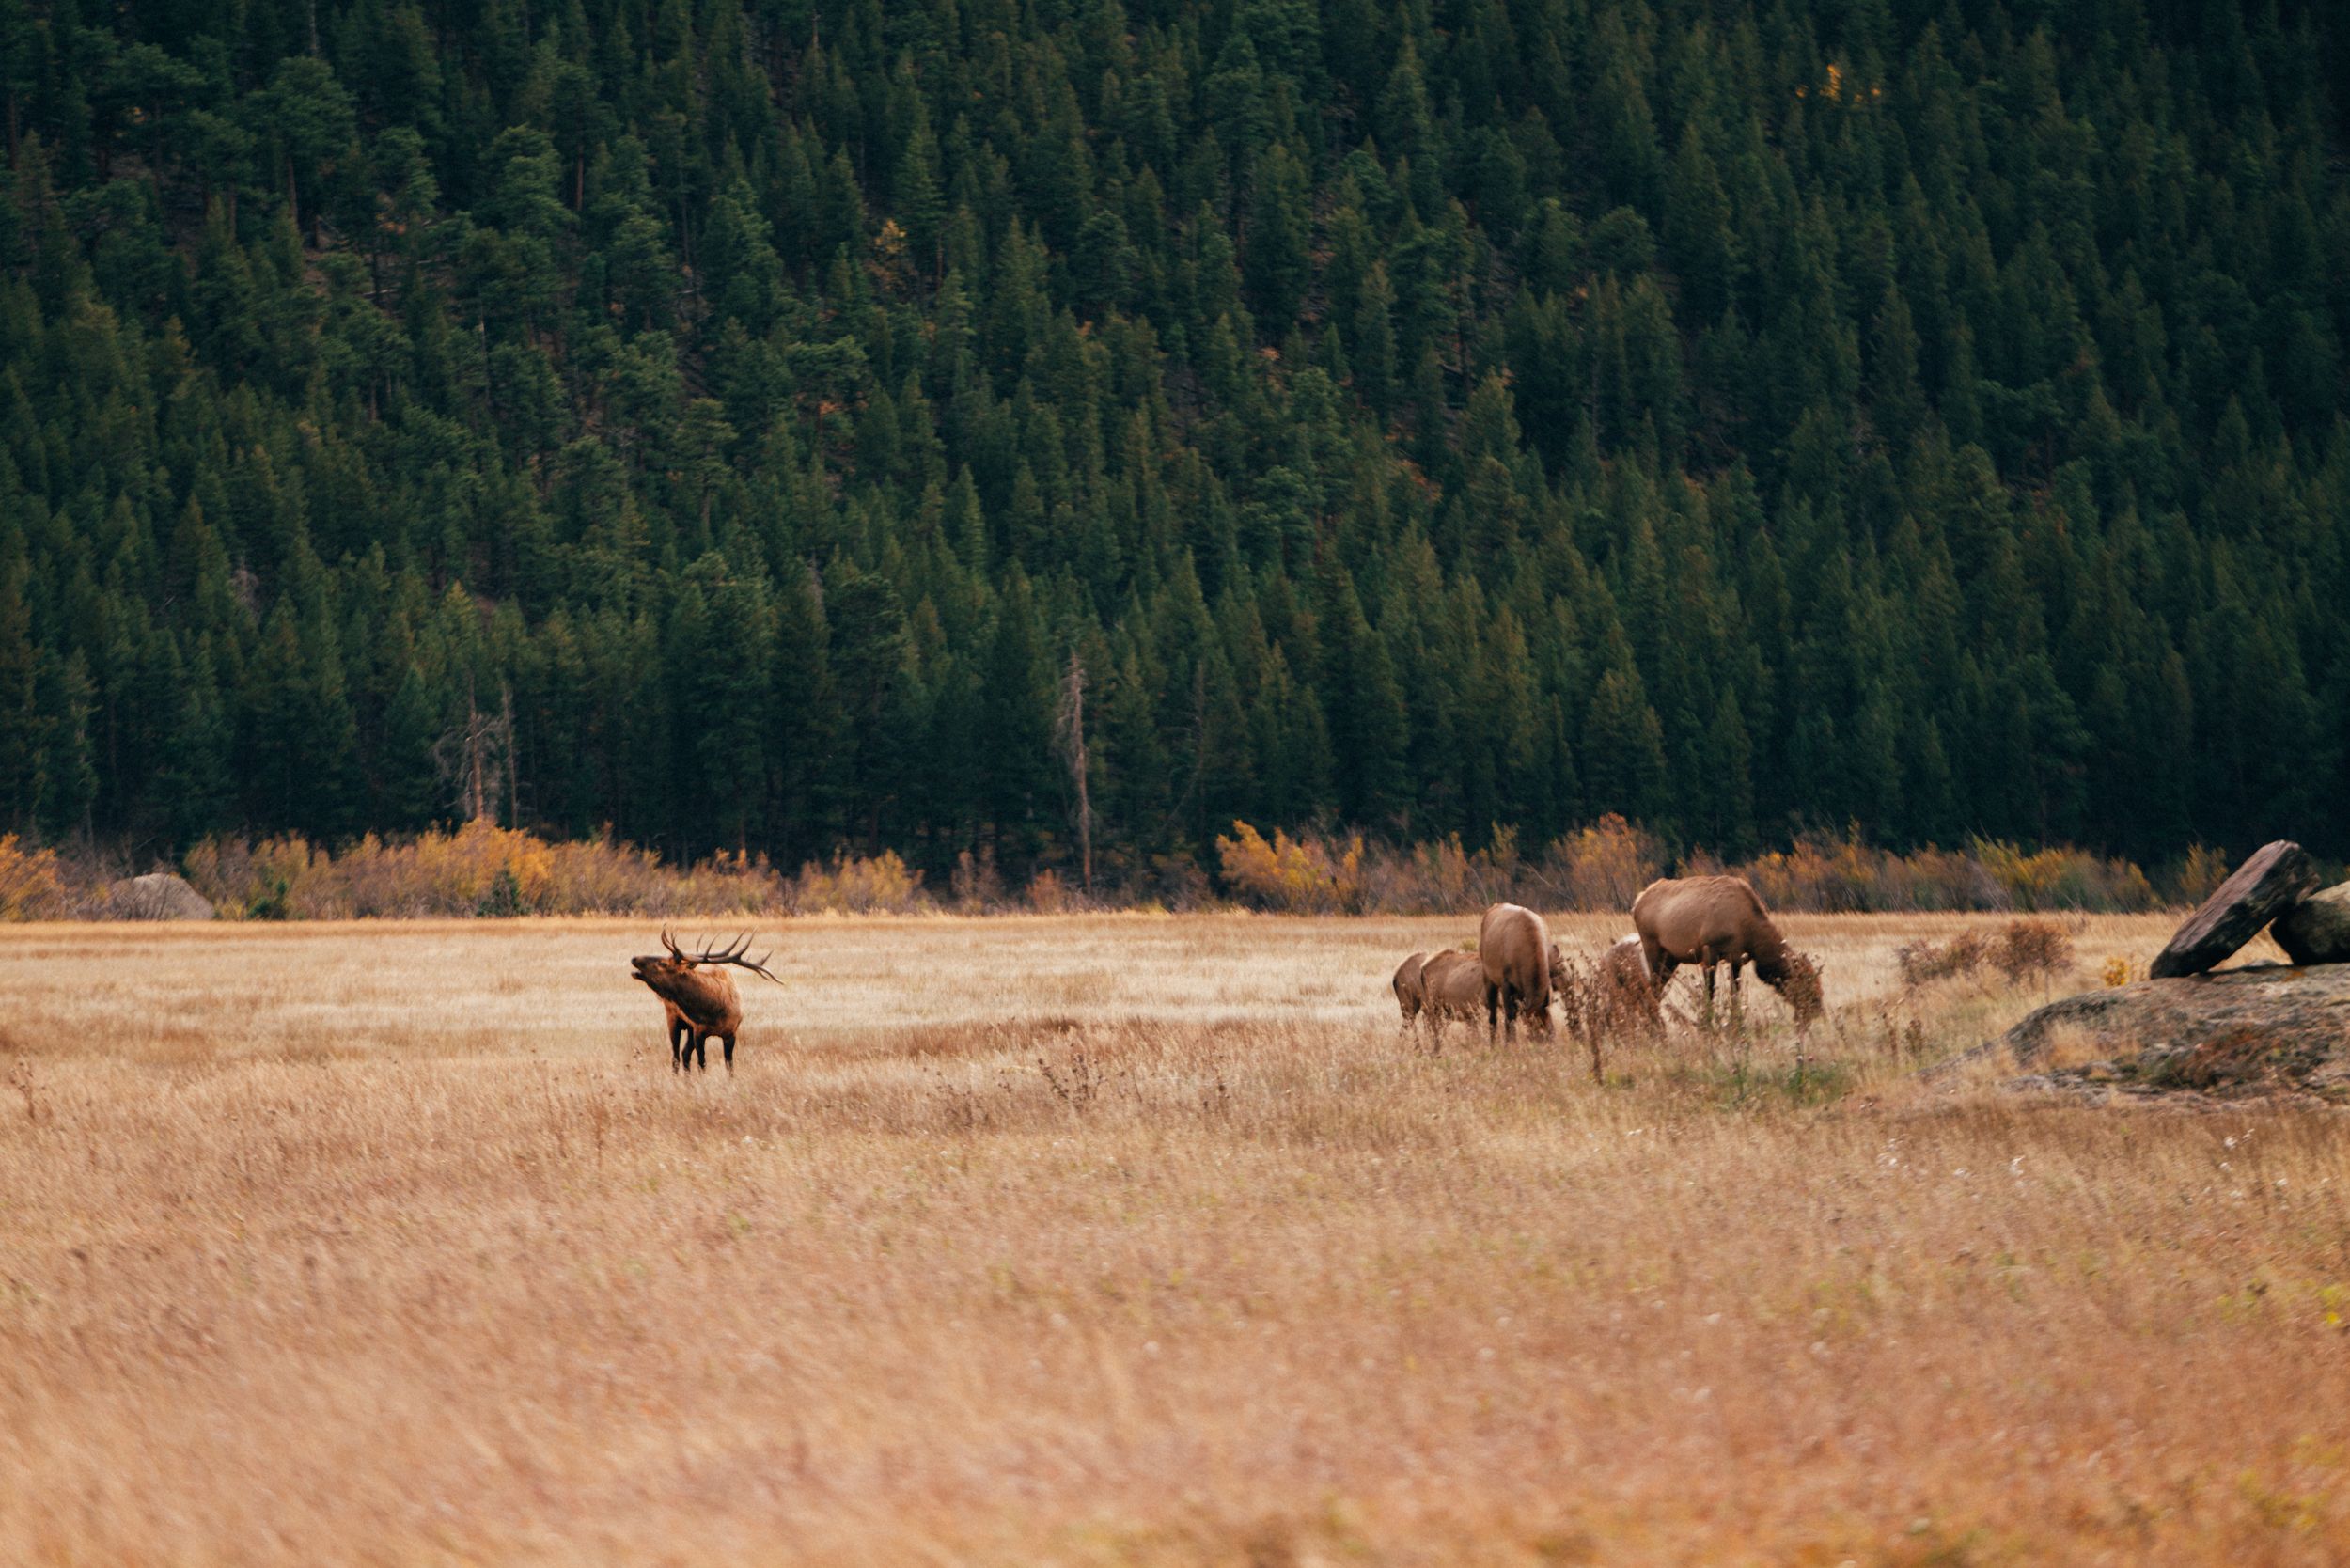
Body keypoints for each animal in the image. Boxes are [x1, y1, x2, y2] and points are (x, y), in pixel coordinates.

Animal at [628, 929, 783, 1074]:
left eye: (663, 963)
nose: (634, 958)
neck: (714, 1011)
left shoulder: (731, 1033)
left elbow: (729, 1066)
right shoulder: (699, 1031)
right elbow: (702, 1064)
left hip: (688, 1027)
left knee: (684, 1053)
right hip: (673, 1017)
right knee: (676, 1057)